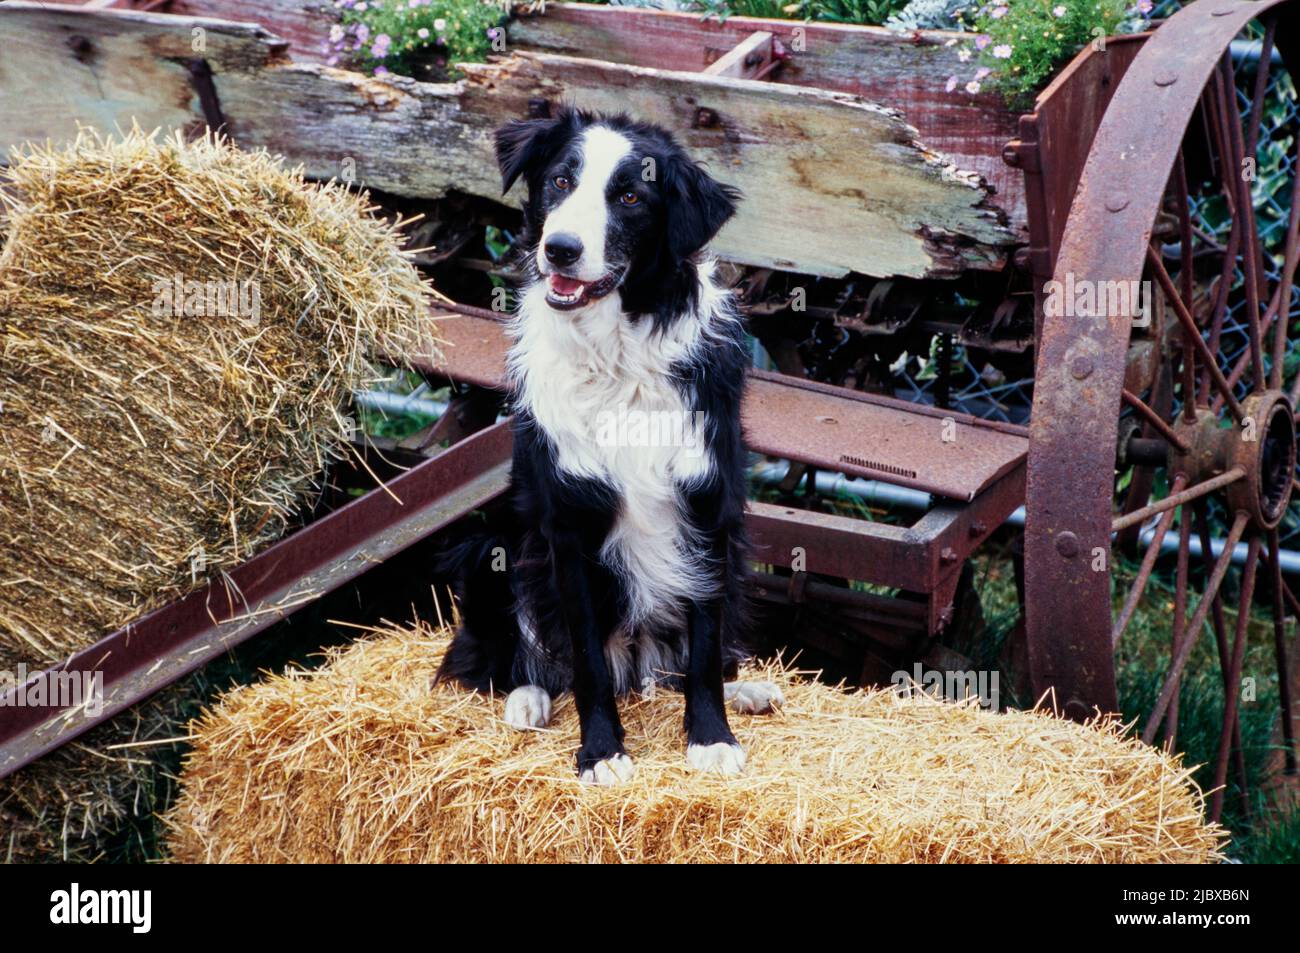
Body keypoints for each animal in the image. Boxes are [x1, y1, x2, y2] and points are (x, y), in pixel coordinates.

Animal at [436, 107, 780, 785]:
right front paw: (602, 753)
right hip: (489, 547)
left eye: (629, 197)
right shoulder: (568, 527)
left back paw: (747, 688)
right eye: (560, 181)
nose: (561, 249)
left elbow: (704, 647)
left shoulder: (708, 512)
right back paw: (528, 699)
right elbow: (587, 662)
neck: (618, 358)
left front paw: (711, 738)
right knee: (508, 657)